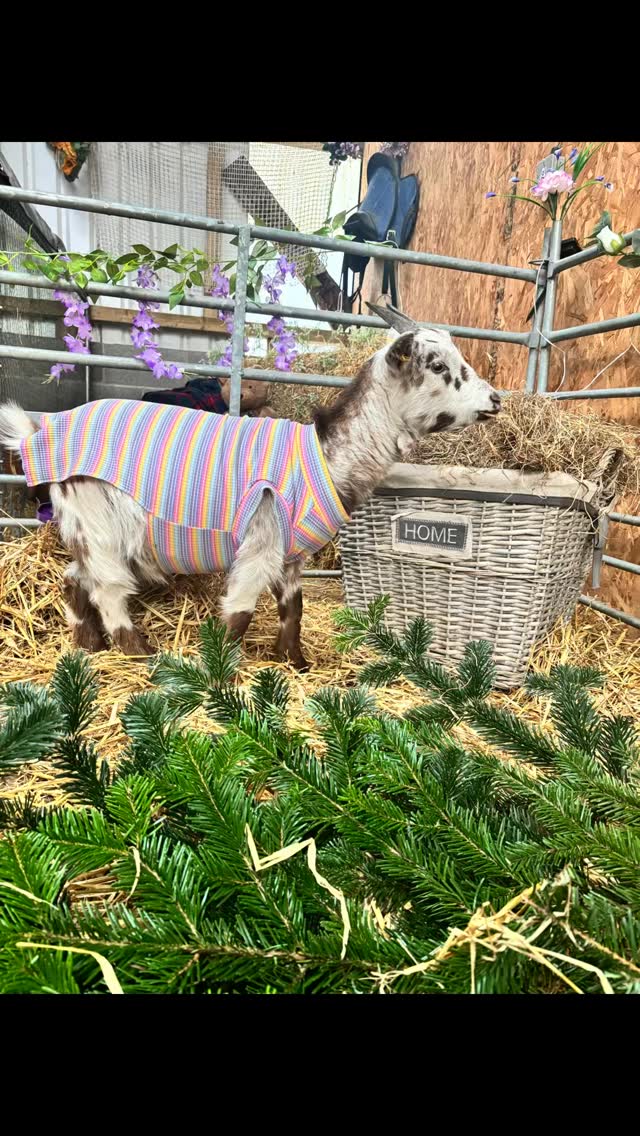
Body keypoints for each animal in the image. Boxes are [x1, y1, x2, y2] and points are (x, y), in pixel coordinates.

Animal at [0, 304, 501, 670]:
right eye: (437, 365)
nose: (496, 399)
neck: (325, 457)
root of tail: (35, 438)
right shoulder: (262, 540)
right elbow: (240, 611)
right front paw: (219, 669)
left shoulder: (292, 555)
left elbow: (294, 610)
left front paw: (296, 663)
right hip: (101, 521)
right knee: (107, 589)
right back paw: (138, 653)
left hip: (90, 530)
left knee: (73, 579)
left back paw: (89, 646)